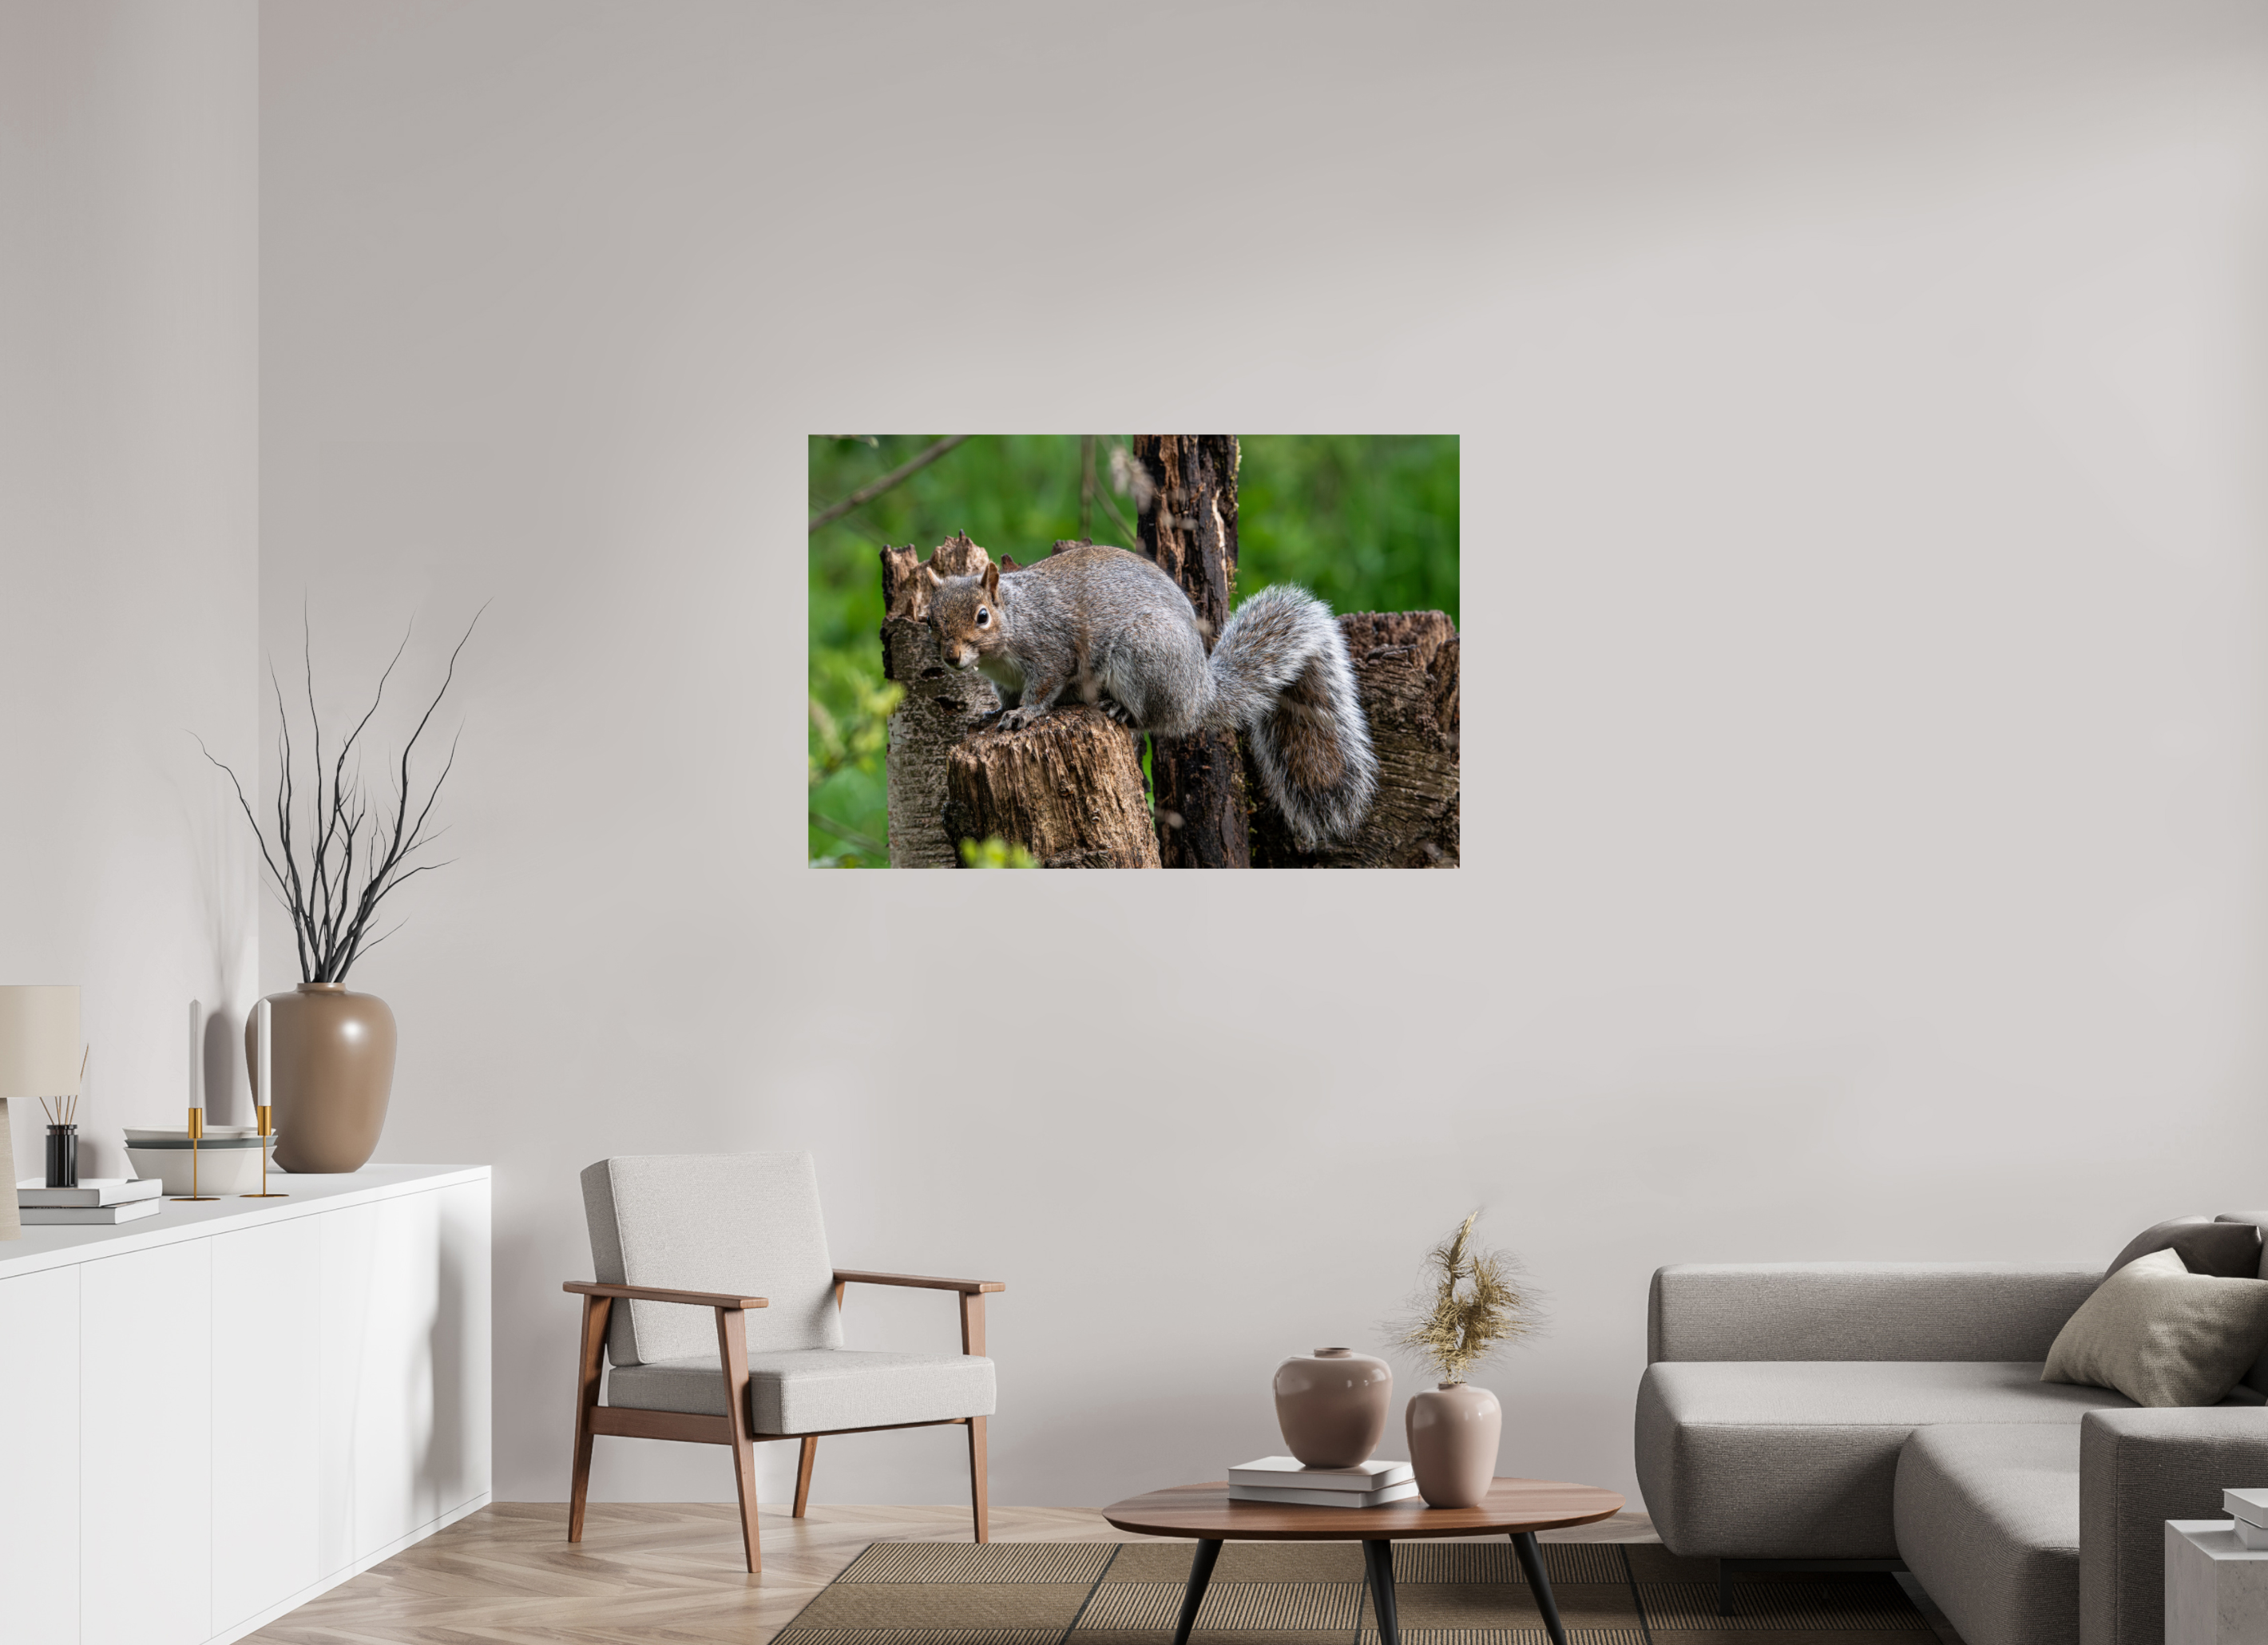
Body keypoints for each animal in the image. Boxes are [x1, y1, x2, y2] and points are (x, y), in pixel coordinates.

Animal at [919, 541, 1378, 848]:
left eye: (982, 616)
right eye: (928, 621)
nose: (952, 657)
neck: (1013, 623)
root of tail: (1199, 693)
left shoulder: (1051, 652)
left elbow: (1043, 689)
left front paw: (1024, 716)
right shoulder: (1004, 680)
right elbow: (1005, 698)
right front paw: (990, 715)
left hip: (1142, 656)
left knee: (1153, 718)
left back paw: (1121, 710)